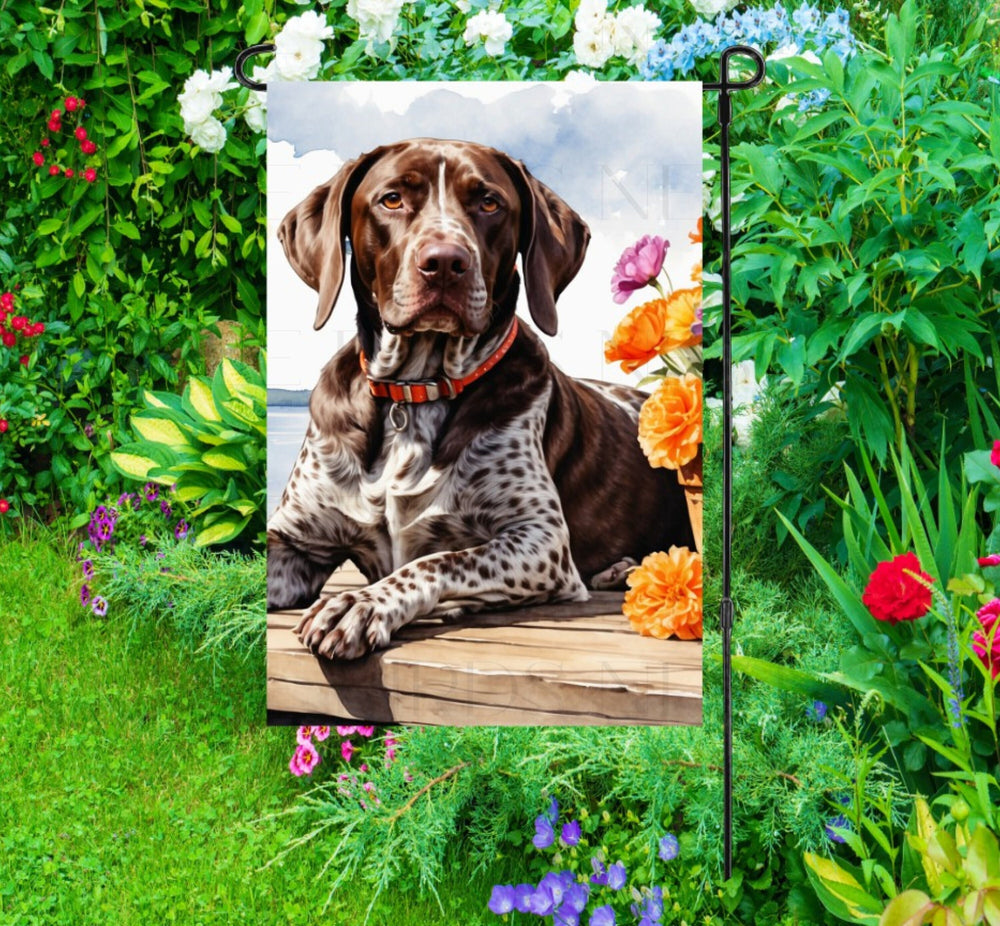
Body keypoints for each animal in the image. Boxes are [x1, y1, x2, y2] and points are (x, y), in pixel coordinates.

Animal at [274, 138, 696, 660]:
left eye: (489, 203)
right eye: (392, 199)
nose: (444, 262)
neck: (415, 394)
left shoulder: (539, 540)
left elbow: (435, 561)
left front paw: (360, 603)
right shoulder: (293, 535)